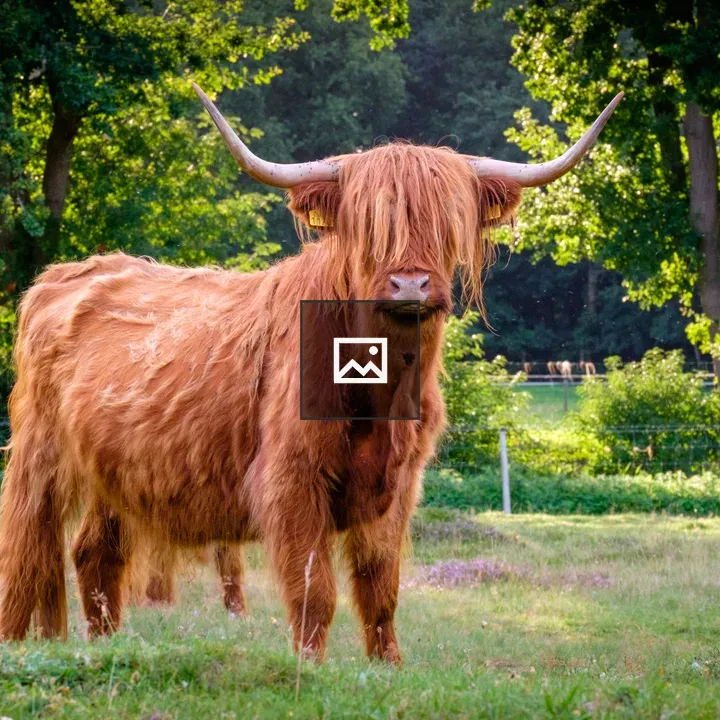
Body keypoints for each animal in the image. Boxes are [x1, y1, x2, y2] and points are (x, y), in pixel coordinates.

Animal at [0, 84, 622, 662]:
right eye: (368, 227)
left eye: (449, 222)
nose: (411, 284)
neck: (381, 393)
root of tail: (63, 273)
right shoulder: (292, 479)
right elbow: (314, 591)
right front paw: (310, 668)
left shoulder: (398, 487)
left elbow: (380, 590)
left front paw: (387, 666)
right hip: (39, 454)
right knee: (26, 550)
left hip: (120, 469)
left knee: (94, 553)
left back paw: (105, 648)